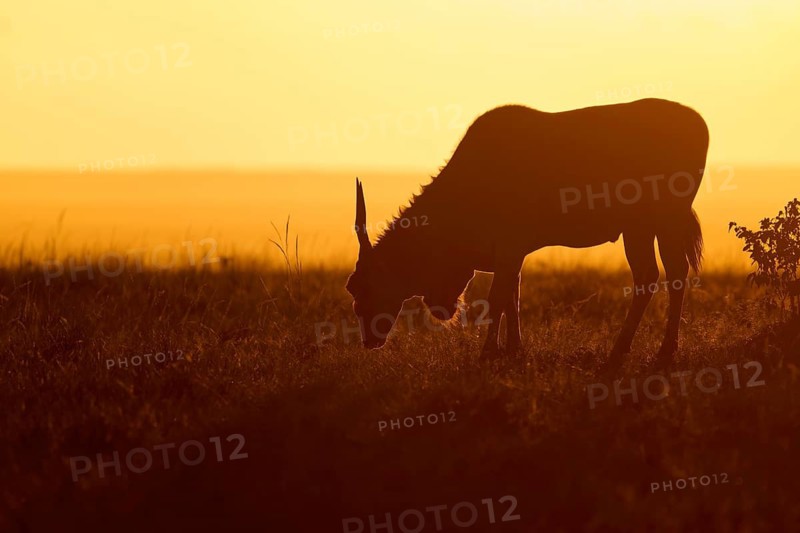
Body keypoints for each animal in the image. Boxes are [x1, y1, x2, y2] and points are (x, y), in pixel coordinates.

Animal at [346, 98, 708, 364]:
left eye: (363, 289)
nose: (369, 341)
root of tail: (698, 123)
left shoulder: (509, 247)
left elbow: (498, 298)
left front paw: (488, 353)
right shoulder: (511, 254)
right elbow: (513, 297)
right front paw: (513, 350)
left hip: (661, 222)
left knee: (666, 274)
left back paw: (650, 352)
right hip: (642, 228)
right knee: (657, 275)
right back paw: (634, 351)